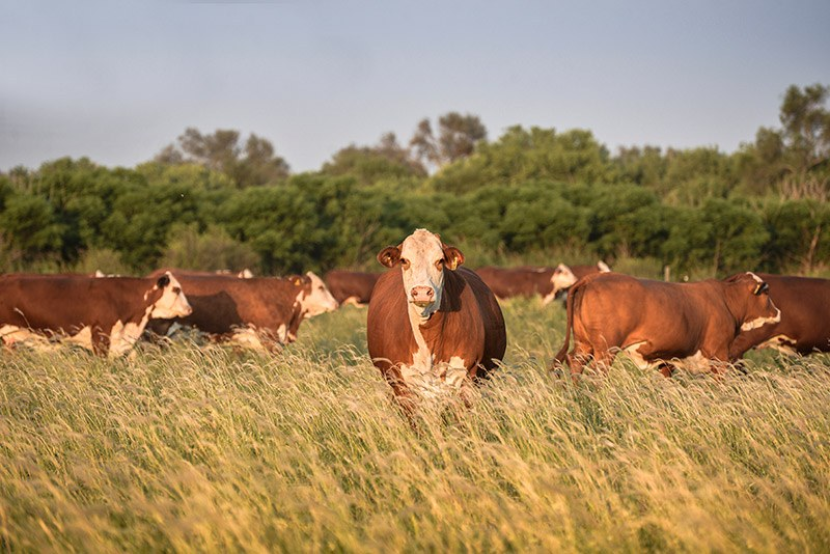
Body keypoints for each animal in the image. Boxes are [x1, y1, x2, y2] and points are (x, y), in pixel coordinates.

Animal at [368, 226, 510, 412]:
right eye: (404, 260)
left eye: (440, 260)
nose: (422, 292)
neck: (430, 342)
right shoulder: (402, 385)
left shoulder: (467, 378)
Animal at [556, 270, 784, 378]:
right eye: (766, 293)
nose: (778, 312)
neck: (725, 300)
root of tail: (591, 278)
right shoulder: (719, 355)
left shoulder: (668, 359)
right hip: (605, 349)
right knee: (597, 373)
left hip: (584, 344)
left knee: (575, 363)